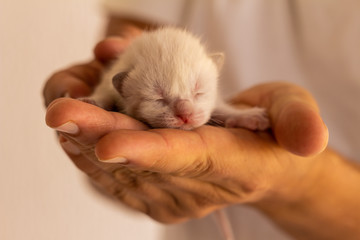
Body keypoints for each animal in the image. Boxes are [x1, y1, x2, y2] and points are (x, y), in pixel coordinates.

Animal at [85, 27, 270, 131]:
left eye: (199, 92)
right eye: (158, 98)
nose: (185, 115)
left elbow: (223, 109)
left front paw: (248, 116)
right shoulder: (113, 72)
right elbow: (105, 90)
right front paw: (94, 100)